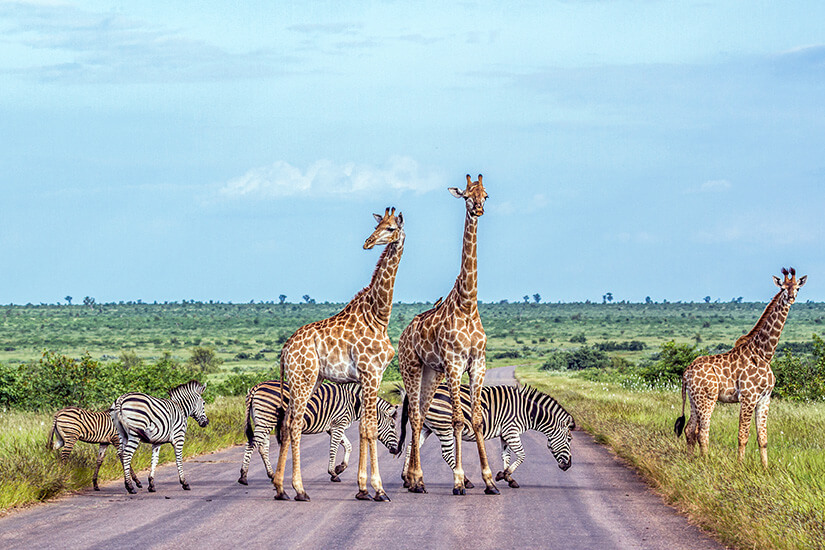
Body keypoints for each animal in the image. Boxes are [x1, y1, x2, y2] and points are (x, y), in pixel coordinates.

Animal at [238, 380, 400, 486]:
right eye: (392, 426)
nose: (397, 450)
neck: (354, 404)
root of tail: (256, 387)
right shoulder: (338, 424)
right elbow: (334, 449)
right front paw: (333, 473)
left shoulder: (333, 427)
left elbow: (348, 446)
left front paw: (340, 468)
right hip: (266, 419)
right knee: (251, 444)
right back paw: (243, 476)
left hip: (263, 420)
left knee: (262, 447)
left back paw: (271, 475)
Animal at [399, 383, 575, 489]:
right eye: (570, 439)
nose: (568, 466)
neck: (527, 411)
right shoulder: (511, 430)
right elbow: (522, 455)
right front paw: (504, 475)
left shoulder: (505, 433)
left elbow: (506, 456)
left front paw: (507, 477)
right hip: (444, 426)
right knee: (446, 454)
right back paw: (466, 481)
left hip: (426, 427)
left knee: (411, 447)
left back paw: (406, 479)